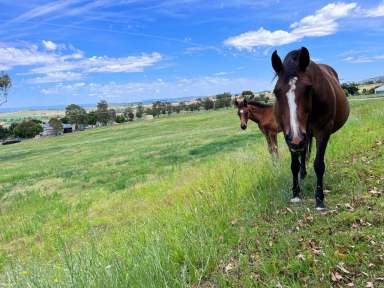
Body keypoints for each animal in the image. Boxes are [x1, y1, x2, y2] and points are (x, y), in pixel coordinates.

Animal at [272, 46, 350, 209]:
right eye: (276, 92)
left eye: (309, 88)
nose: (296, 139)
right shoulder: (288, 136)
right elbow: (294, 165)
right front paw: (296, 194)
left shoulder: (323, 131)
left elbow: (319, 165)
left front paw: (319, 199)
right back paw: (302, 174)